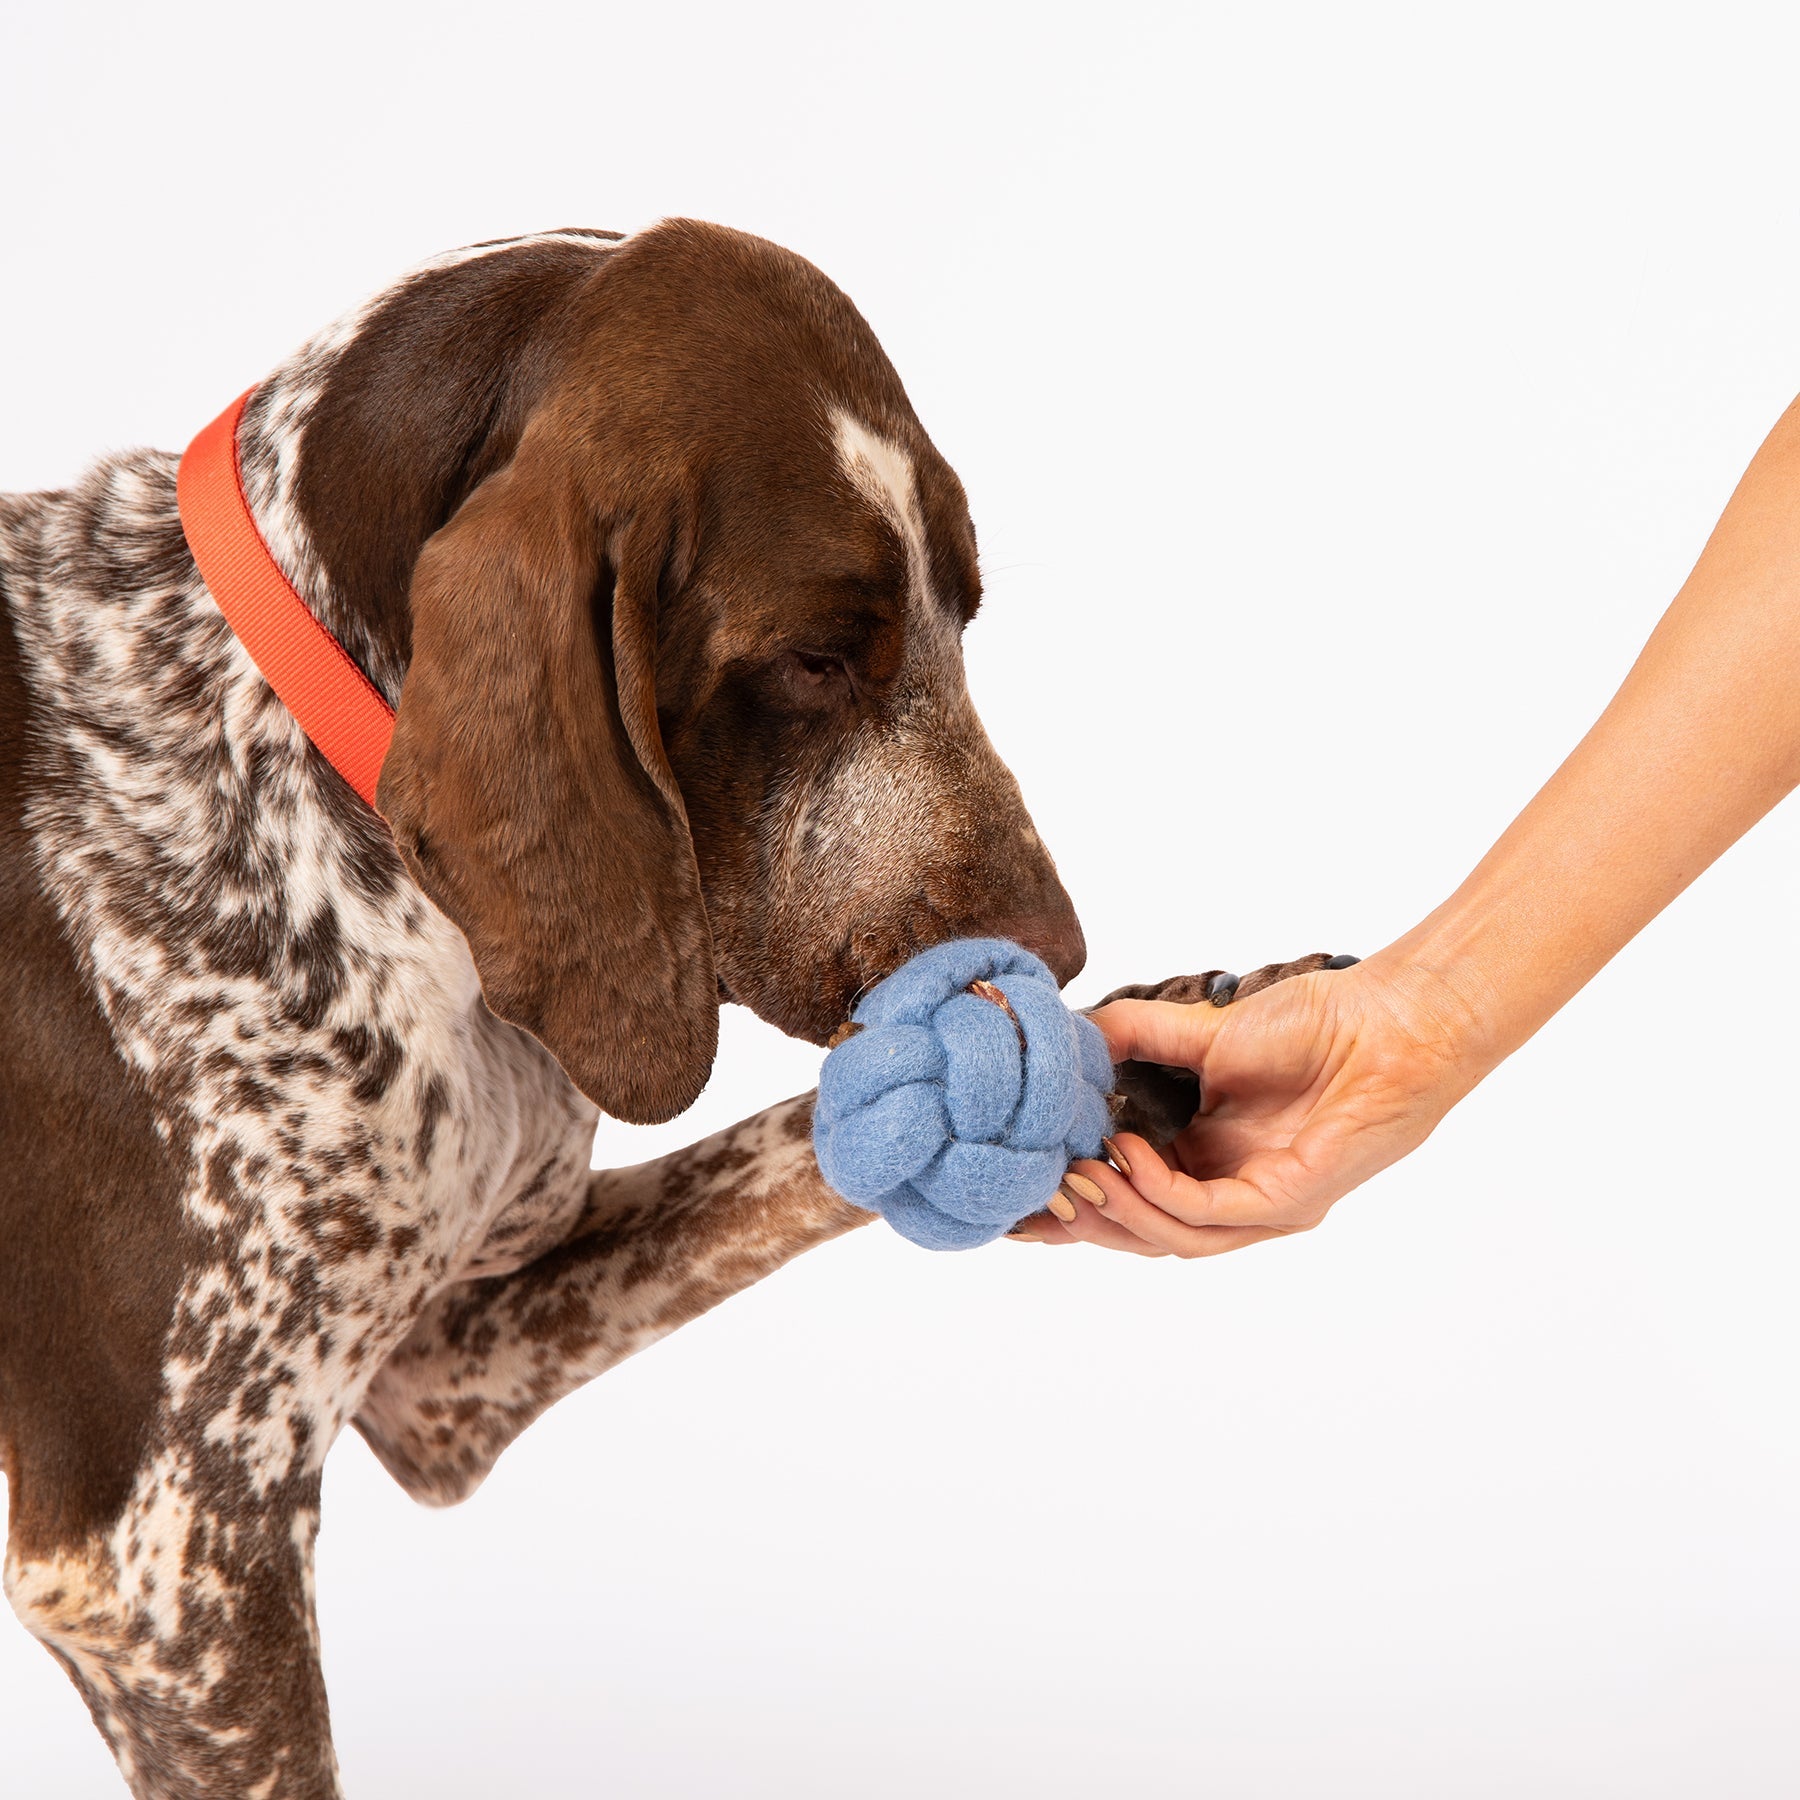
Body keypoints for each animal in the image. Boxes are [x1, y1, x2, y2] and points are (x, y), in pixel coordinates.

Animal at [0, 217, 1324, 1792]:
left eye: (963, 612)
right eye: (815, 656)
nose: (1050, 957)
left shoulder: (445, 1366)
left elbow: (786, 1157)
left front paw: (1154, 1055)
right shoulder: (167, 1561)